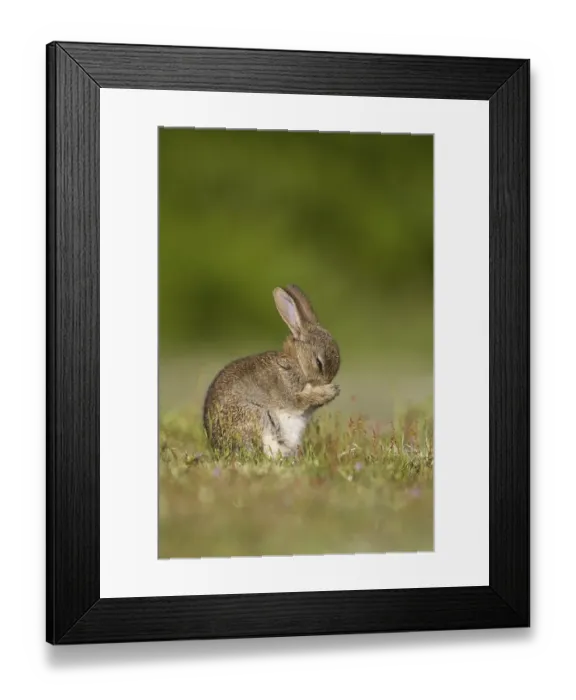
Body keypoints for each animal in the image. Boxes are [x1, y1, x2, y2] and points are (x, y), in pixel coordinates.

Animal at [202, 284, 340, 458]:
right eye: (319, 363)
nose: (327, 382)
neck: (298, 363)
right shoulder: (289, 391)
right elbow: (300, 401)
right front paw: (331, 391)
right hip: (257, 417)